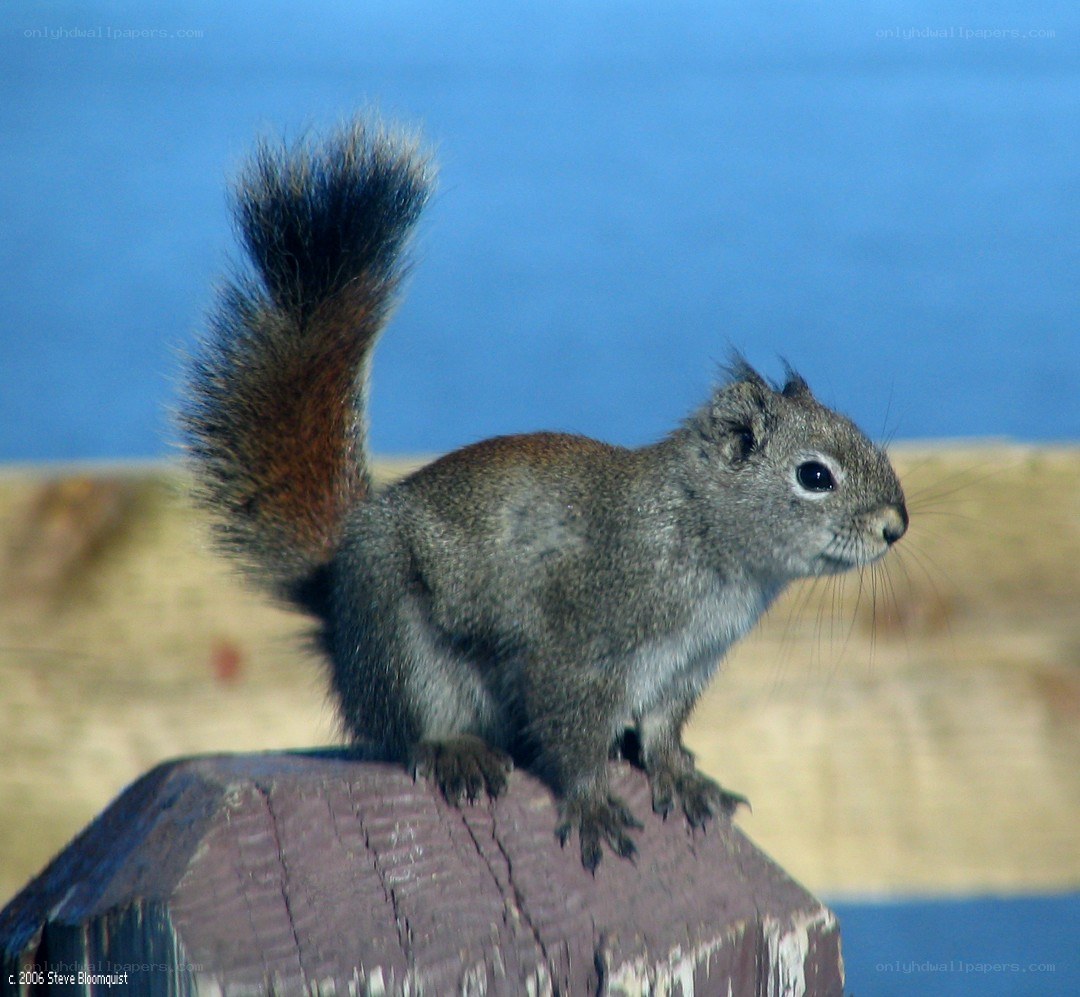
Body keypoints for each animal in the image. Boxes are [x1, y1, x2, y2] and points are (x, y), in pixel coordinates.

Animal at [181, 117, 908, 871]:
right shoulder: (582, 648)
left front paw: (680, 776)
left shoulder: (683, 669)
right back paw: (457, 750)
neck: (701, 536)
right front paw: (591, 804)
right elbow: (573, 734)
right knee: (410, 723)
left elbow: (661, 733)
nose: (896, 524)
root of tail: (337, 594)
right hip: (397, 633)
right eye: (815, 476)